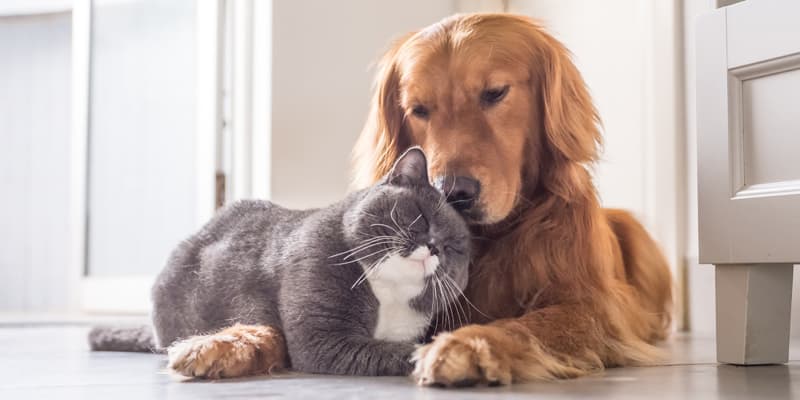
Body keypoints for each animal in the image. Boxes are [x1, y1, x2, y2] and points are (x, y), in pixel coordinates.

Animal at [90, 146, 472, 376]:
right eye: (420, 216)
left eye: (455, 248)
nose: (434, 247)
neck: (388, 294)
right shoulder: (322, 338)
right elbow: (397, 350)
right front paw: (437, 355)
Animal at [354, 14, 672, 386]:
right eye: (418, 110)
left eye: (495, 93)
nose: (452, 192)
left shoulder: (591, 307)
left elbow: (527, 325)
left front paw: (468, 345)